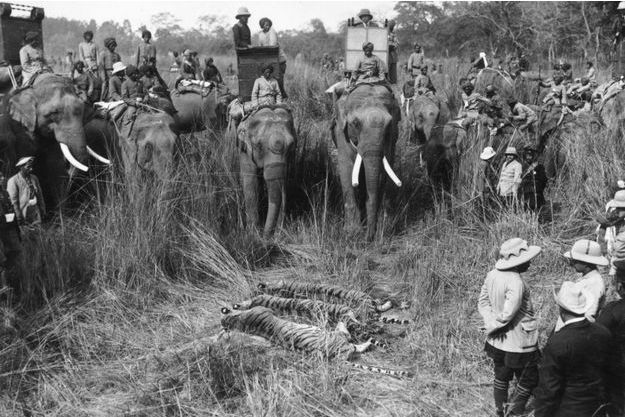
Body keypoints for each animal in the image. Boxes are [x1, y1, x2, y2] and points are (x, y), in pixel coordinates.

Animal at [234, 105, 294, 239]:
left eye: (291, 145)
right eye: (259, 145)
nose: (266, 237)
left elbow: (282, 184)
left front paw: (279, 234)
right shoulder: (244, 149)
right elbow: (250, 182)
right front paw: (252, 234)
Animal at [332, 84, 400, 240]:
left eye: (389, 124)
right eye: (355, 123)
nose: (369, 238)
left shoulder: (391, 139)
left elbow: (384, 171)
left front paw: (382, 228)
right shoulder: (341, 132)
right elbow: (346, 168)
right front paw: (351, 233)